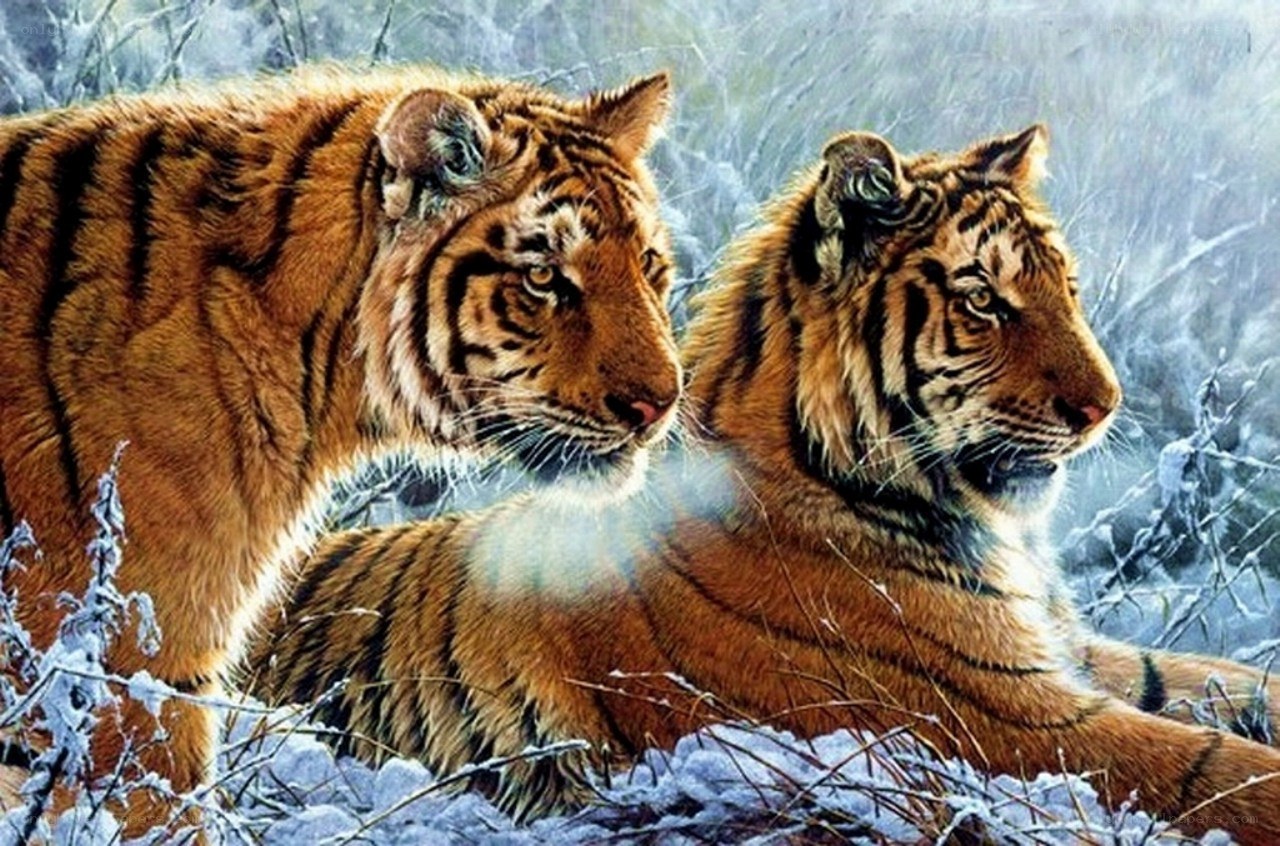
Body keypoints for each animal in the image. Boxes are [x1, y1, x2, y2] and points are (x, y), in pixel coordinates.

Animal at [249, 125, 1280, 843]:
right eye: (983, 298)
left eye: (1064, 287)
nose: (1105, 406)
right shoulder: (998, 715)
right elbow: (1214, 768)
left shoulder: (1064, 654)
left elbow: (1222, 681)